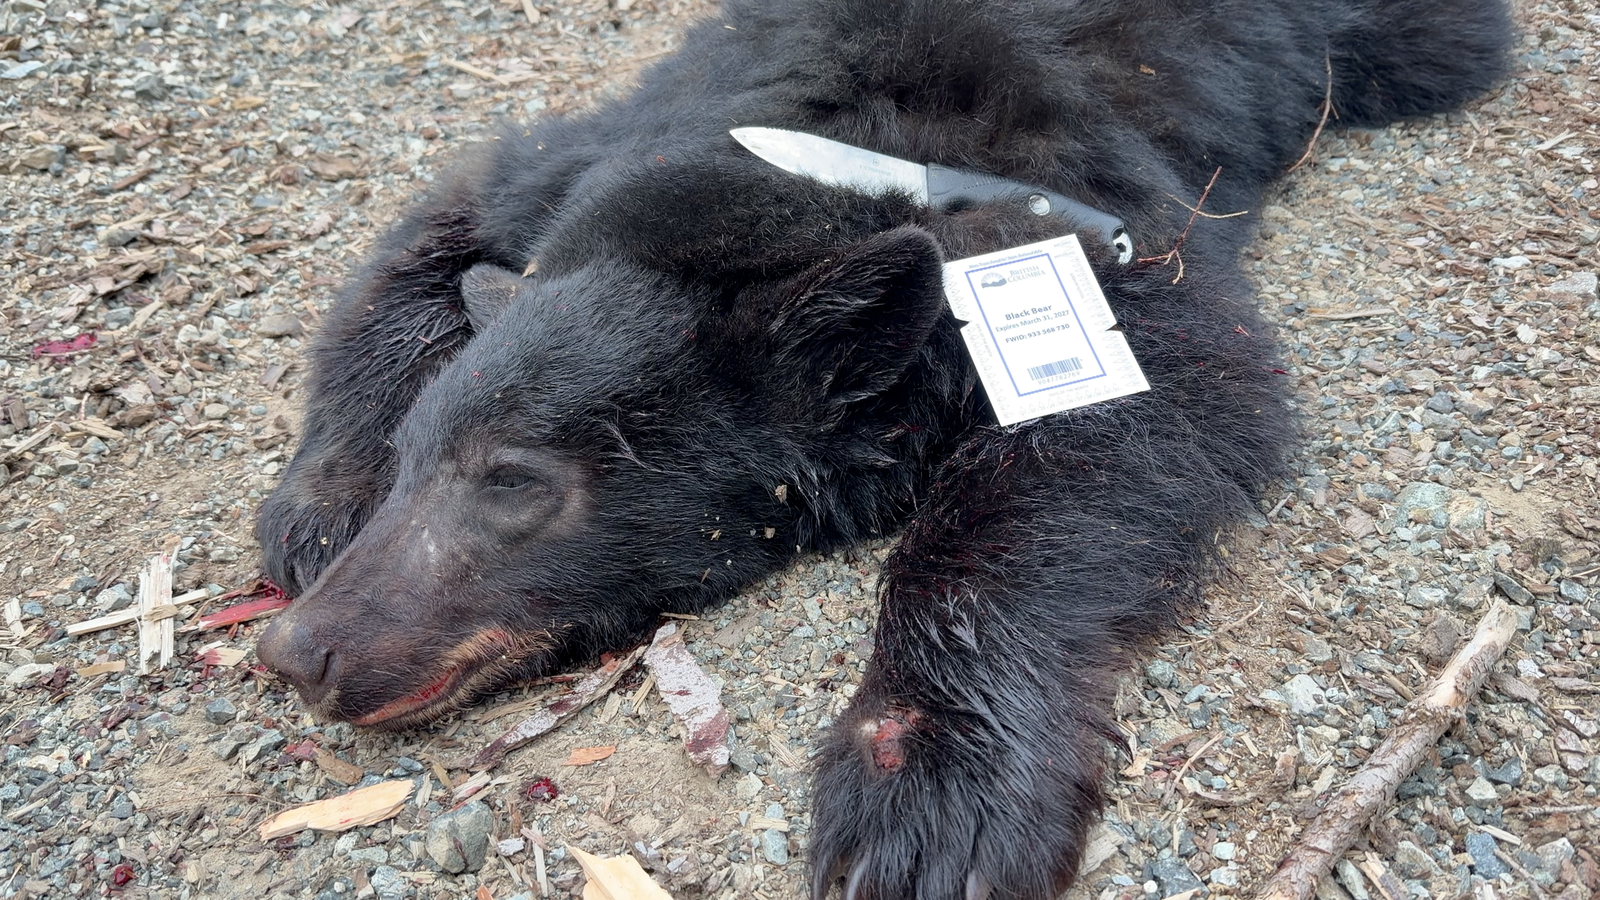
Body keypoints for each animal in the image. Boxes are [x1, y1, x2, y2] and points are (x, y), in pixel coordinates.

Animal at [253, 1, 1512, 897]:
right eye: (418, 461)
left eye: (518, 485)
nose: (298, 654)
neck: (821, 158)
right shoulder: (578, 170)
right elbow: (436, 231)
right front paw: (318, 504)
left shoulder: (1104, 244)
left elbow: (1119, 430)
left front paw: (926, 780)